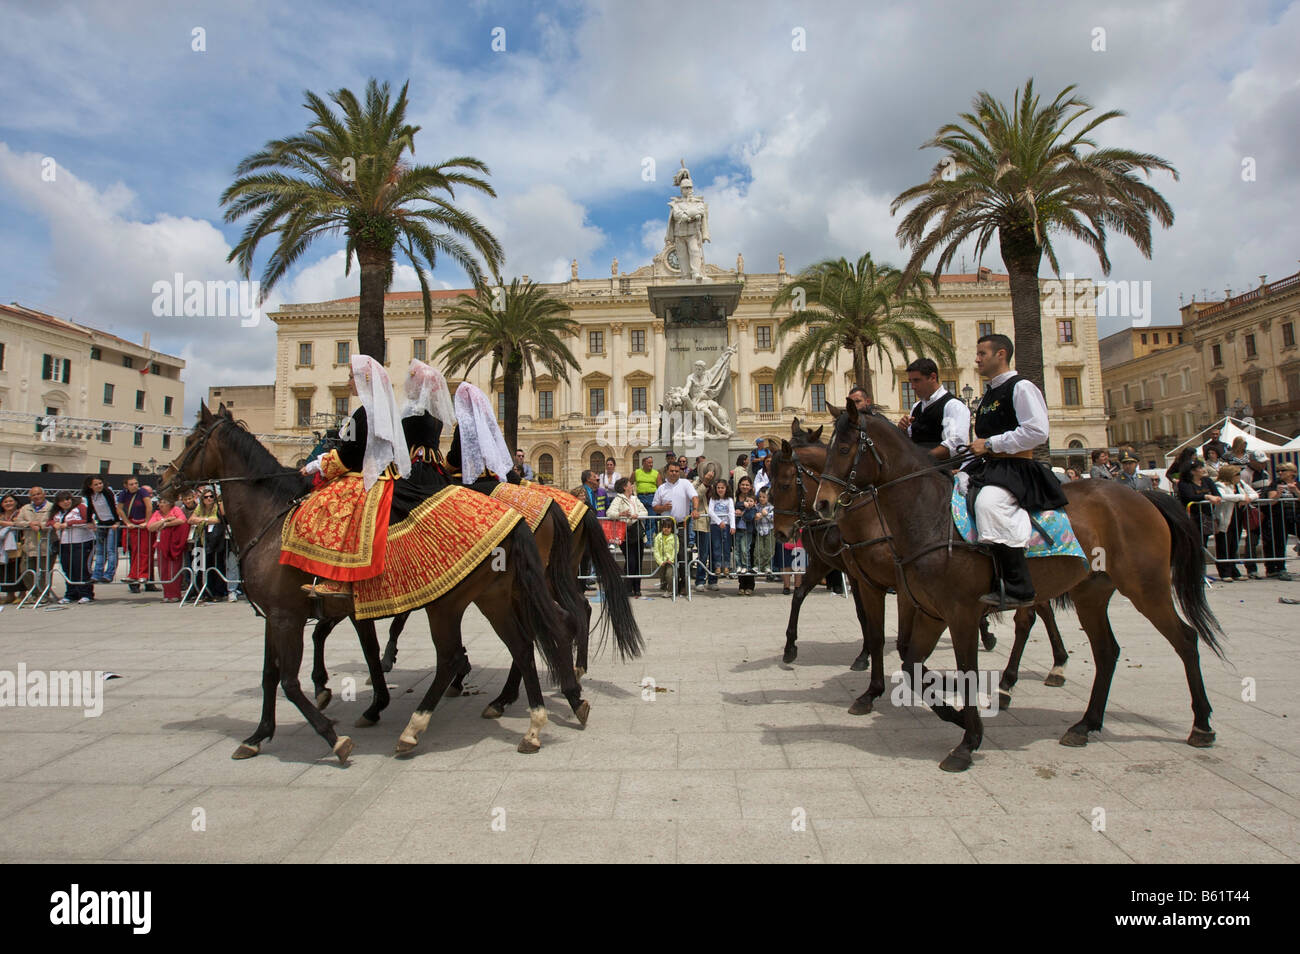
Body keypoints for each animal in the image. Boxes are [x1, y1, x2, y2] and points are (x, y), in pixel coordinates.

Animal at [166, 402, 579, 764]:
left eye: (192, 440)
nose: (166, 480)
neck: (272, 517)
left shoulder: (288, 614)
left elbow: (290, 679)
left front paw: (335, 730)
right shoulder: (294, 613)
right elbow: (278, 673)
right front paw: (260, 734)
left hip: (454, 602)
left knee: (466, 652)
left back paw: (420, 727)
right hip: (492, 596)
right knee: (529, 640)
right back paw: (539, 713)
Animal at [764, 428, 1071, 712]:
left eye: (785, 484)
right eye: (770, 482)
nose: (781, 532)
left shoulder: (896, 583)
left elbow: (898, 636)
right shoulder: (841, 569)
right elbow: (807, 598)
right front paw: (793, 648)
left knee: (1034, 613)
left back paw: (1038, 668)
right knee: (1039, 608)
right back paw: (1046, 660)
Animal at [811, 400, 1216, 774]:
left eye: (844, 449)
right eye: (826, 450)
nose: (824, 505)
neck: (930, 516)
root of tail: (1140, 495)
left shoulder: (959, 613)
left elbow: (963, 669)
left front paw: (967, 742)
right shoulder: (929, 611)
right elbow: (911, 665)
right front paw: (956, 717)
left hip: (1147, 588)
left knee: (1185, 639)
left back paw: (1201, 725)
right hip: (1091, 594)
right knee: (1105, 651)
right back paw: (1083, 725)